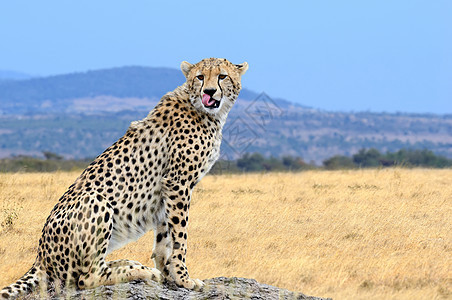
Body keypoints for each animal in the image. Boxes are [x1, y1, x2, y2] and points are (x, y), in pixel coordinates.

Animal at [0, 57, 247, 298]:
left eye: (222, 76)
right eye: (200, 77)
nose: (210, 92)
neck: (205, 111)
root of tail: (39, 257)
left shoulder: (168, 190)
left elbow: (164, 237)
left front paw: (168, 274)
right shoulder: (178, 183)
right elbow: (180, 236)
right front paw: (183, 278)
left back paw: (132, 264)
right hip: (96, 201)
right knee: (86, 277)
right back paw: (139, 270)